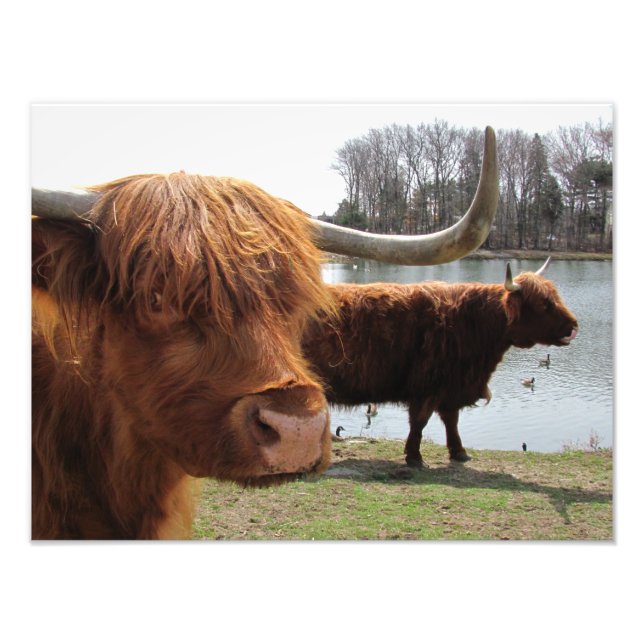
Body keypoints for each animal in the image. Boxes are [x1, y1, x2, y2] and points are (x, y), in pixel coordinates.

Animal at [302, 258, 578, 467]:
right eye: (544, 304)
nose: (573, 326)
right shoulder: (428, 386)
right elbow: (420, 422)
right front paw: (414, 457)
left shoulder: (451, 386)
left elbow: (451, 421)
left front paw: (459, 452)